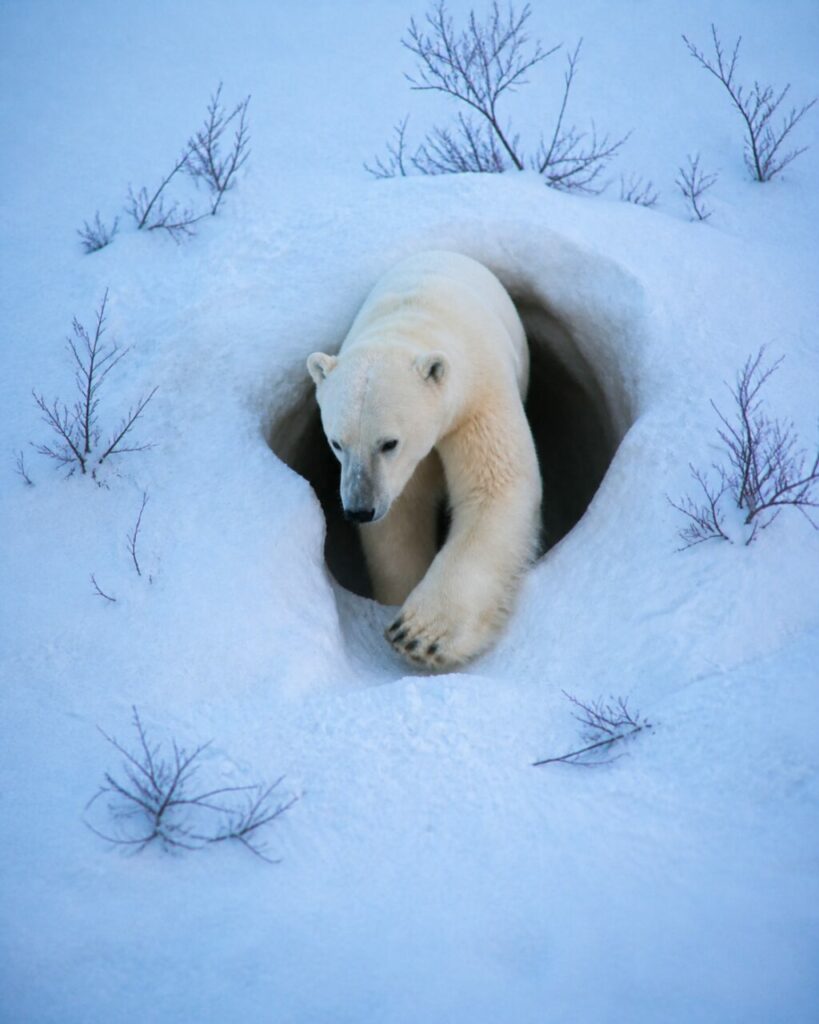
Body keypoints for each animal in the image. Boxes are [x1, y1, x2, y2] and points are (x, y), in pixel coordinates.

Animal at [307, 250, 542, 670]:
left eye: (389, 443)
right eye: (336, 443)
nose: (359, 509)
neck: (415, 320)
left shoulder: (477, 398)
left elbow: (497, 486)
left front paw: (417, 635)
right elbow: (400, 518)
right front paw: (398, 600)